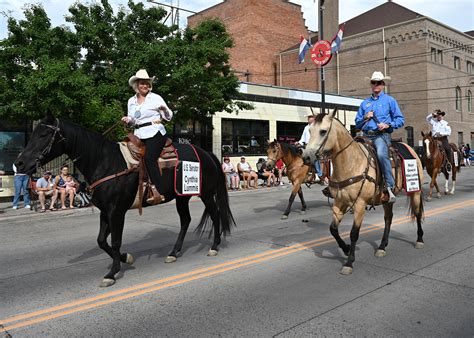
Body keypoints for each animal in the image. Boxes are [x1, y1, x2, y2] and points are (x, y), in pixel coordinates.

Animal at [14, 115, 235, 286]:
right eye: (33, 133)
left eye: (44, 135)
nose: (20, 163)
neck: (105, 162)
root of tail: (207, 154)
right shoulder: (105, 211)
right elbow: (102, 241)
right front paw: (125, 258)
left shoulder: (116, 211)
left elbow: (115, 241)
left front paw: (112, 273)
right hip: (182, 197)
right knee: (185, 221)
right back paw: (173, 252)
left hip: (206, 194)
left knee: (215, 216)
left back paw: (214, 247)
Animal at [302, 111, 424, 274]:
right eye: (309, 130)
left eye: (323, 131)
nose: (306, 157)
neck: (350, 163)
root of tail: (410, 148)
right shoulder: (339, 202)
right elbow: (333, 229)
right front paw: (346, 248)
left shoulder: (360, 204)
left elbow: (354, 233)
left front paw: (349, 262)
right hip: (387, 199)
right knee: (388, 218)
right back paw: (382, 247)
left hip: (415, 191)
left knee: (417, 213)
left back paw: (419, 240)